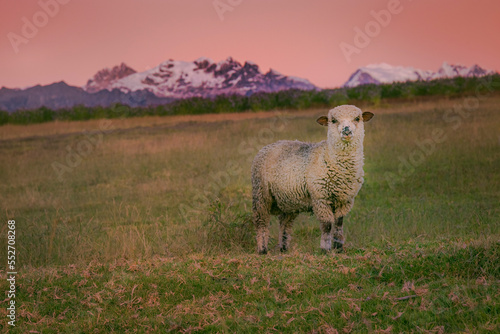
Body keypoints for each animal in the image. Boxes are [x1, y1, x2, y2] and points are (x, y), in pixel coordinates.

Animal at [252, 105, 374, 254]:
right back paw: (262, 249)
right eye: (333, 120)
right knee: (261, 222)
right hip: (261, 194)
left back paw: (283, 248)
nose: (346, 130)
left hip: (288, 200)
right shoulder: (321, 198)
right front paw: (325, 249)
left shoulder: (344, 199)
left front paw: (339, 247)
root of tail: (271, 144)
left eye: (357, 118)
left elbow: (339, 224)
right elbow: (327, 225)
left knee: (285, 223)